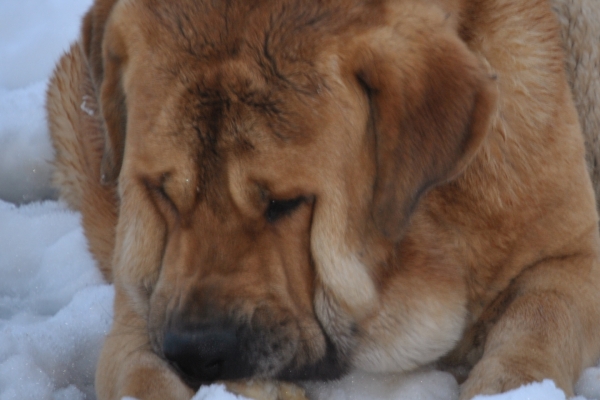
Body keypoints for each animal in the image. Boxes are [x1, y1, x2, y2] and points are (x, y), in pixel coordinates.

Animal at [44, 0, 600, 400]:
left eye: (285, 202)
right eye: (161, 190)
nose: (198, 351)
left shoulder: (573, 255)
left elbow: (540, 317)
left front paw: (511, 387)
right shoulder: (139, 312)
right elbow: (142, 374)